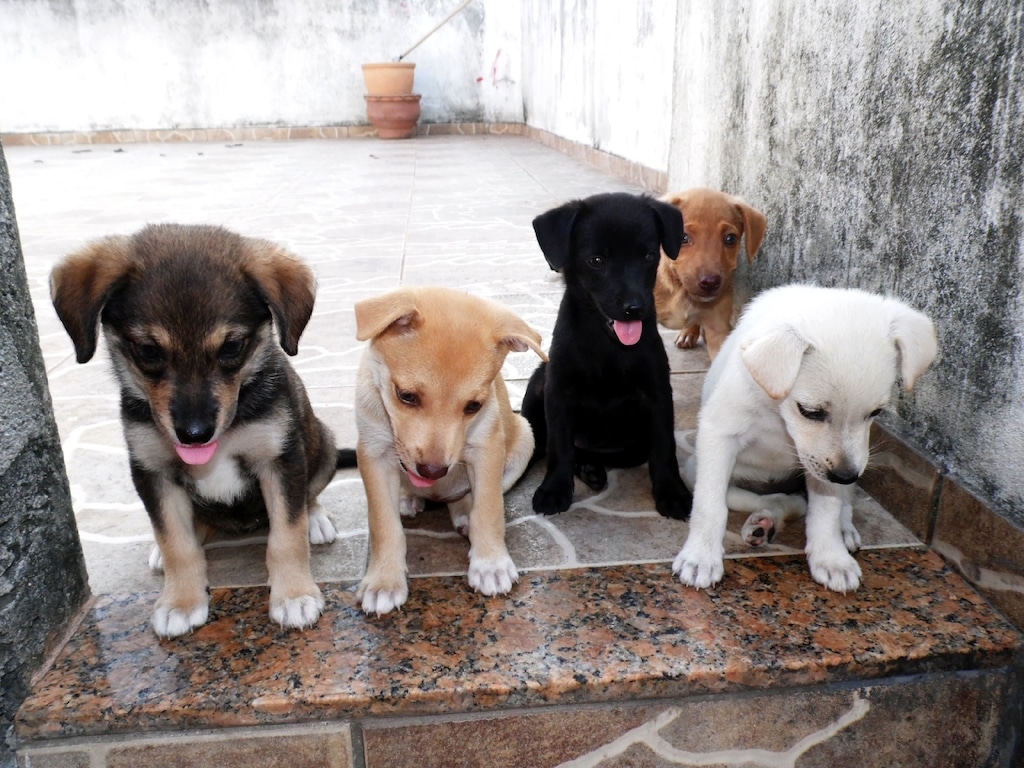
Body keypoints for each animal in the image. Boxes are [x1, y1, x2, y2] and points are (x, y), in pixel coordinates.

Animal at [49, 224, 354, 638]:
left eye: (232, 347)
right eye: (148, 350)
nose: (194, 435)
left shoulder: (280, 459)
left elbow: (286, 535)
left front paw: (294, 595)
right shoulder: (152, 472)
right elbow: (177, 543)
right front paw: (180, 601)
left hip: (322, 444)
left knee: (309, 494)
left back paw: (317, 519)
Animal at [352, 286, 548, 618]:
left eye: (474, 406)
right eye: (406, 396)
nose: (432, 472)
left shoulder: (487, 448)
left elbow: (489, 510)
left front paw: (490, 564)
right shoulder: (373, 454)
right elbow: (383, 525)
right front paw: (384, 581)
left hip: (524, 439)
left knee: (468, 500)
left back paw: (463, 513)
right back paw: (409, 499)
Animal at [524, 191, 692, 524]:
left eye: (649, 256)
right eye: (596, 261)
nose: (634, 308)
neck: (608, 345)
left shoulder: (658, 393)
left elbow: (664, 447)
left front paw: (672, 491)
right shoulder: (557, 390)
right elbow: (558, 445)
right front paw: (554, 489)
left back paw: (590, 467)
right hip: (538, 383)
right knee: (542, 441)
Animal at [671, 286, 937, 593]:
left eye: (876, 412)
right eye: (811, 412)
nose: (845, 476)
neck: (777, 411)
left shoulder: (828, 464)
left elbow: (827, 508)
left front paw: (831, 558)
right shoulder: (719, 434)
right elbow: (710, 504)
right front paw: (700, 556)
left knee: (823, 503)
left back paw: (836, 529)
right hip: (694, 469)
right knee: (772, 499)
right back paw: (762, 522)